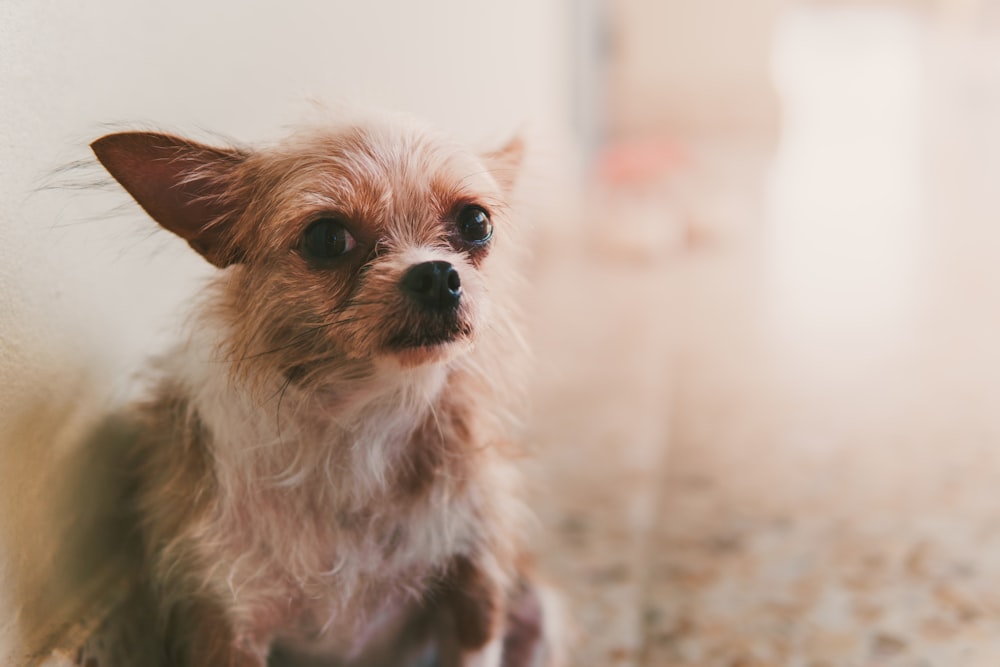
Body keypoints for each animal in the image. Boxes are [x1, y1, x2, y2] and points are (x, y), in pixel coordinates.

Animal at [92, 112, 564, 664]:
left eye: (475, 223)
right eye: (327, 238)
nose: (437, 275)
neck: (362, 417)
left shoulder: (476, 593)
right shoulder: (230, 622)